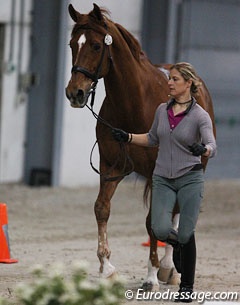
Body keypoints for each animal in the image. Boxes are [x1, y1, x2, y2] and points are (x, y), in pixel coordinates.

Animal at [65, 3, 216, 288]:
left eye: (96, 46)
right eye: (71, 45)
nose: (74, 93)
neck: (134, 102)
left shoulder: (159, 171)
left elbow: (152, 221)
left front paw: (151, 275)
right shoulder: (110, 166)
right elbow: (101, 209)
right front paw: (107, 269)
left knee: (177, 213)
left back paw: (169, 269)